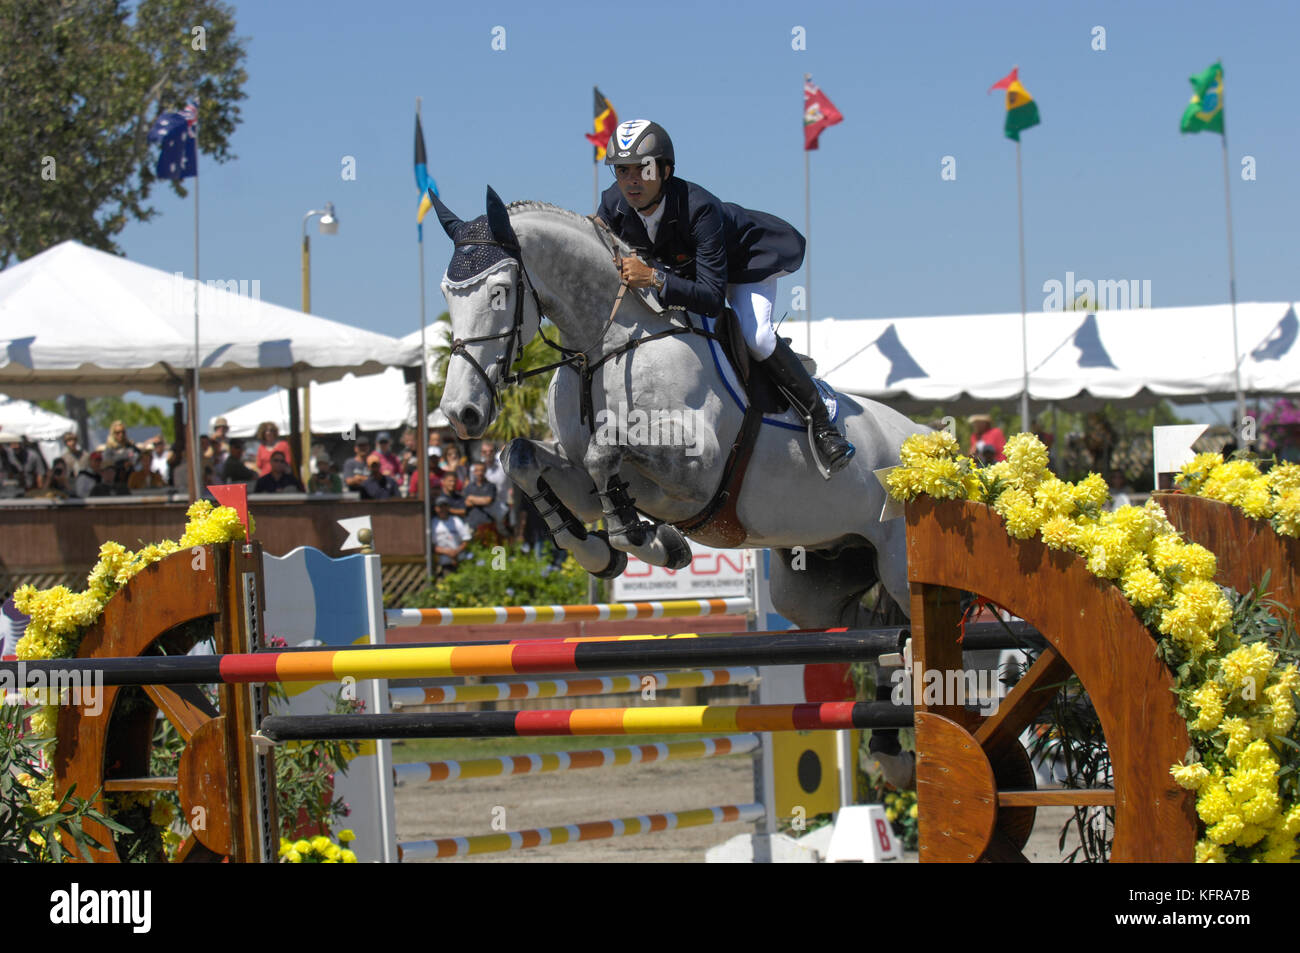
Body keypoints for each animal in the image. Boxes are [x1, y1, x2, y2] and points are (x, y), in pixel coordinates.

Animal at [436, 188, 925, 629]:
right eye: (446, 294)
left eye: (500, 291)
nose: (461, 413)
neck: (606, 345)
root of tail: (926, 442)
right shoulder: (587, 472)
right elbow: (522, 457)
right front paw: (600, 552)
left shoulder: (699, 465)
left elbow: (604, 450)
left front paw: (652, 541)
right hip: (817, 580)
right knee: (862, 624)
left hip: (898, 562)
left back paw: (832, 444)